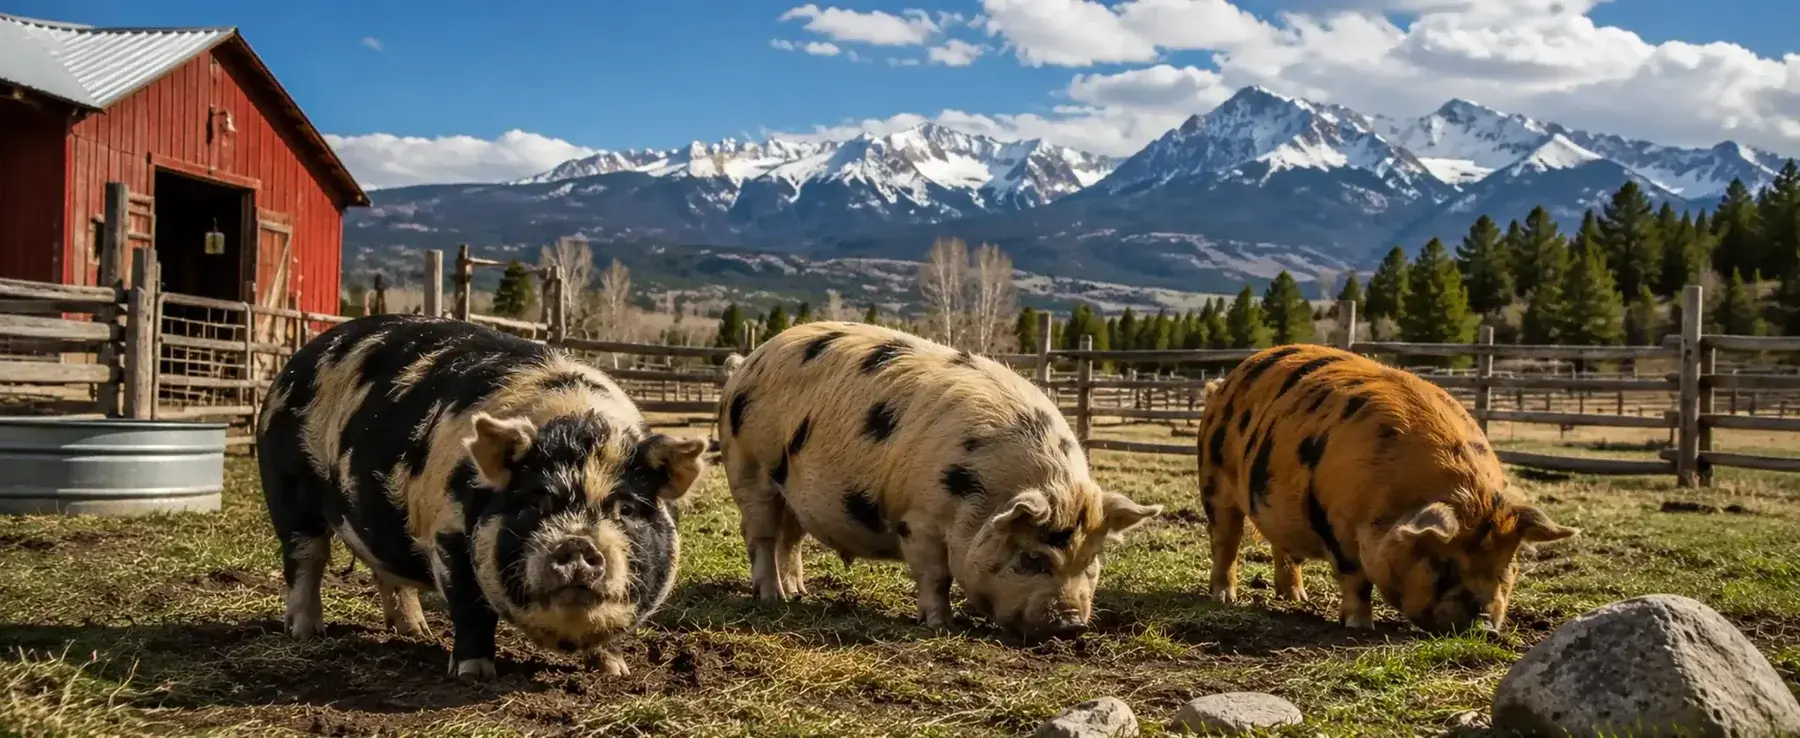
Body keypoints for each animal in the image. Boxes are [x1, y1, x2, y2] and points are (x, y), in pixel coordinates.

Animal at [256, 313, 705, 680]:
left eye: (626, 508)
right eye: (534, 502)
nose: (577, 544)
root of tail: (295, 362)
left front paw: (615, 671)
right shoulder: (448, 538)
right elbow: (471, 608)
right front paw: (473, 674)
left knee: (385, 570)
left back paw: (415, 631)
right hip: (288, 490)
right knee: (305, 558)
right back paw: (307, 633)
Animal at [716, 320, 1164, 641]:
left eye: (1091, 560)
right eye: (1032, 558)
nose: (1072, 625)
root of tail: (745, 364)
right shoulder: (918, 519)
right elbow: (936, 576)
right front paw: (942, 625)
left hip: (790, 491)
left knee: (790, 540)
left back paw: (799, 594)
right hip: (749, 468)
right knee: (761, 536)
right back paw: (773, 599)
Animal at [1196, 343, 1579, 634]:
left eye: (1506, 567)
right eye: (1444, 564)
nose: (1485, 627)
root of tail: (1225, 383)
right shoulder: (1336, 525)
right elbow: (1356, 580)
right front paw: (1359, 626)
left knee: (1284, 548)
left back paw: (1296, 599)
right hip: (1213, 480)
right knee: (1226, 540)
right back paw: (1224, 598)